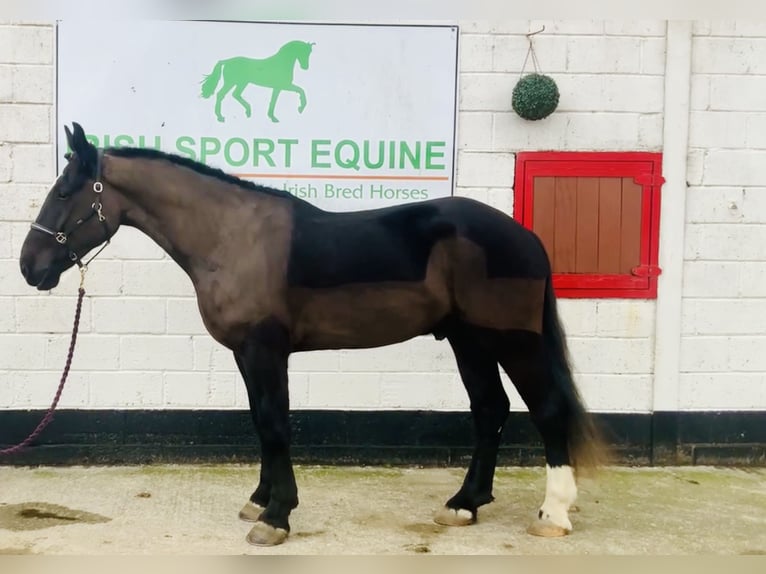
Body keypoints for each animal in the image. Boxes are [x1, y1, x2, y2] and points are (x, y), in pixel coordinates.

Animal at [19, 122, 608, 548]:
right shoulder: (246, 355)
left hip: (512, 340)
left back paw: (553, 513)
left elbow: (276, 425)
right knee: (490, 410)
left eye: (66, 191)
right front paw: (260, 500)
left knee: (547, 409)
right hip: (469, 341)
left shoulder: (265, 351)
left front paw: (277, 517)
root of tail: (524, 236)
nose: (30, 266)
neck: (231, 237)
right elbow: (260, 423)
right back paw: (464, 504)